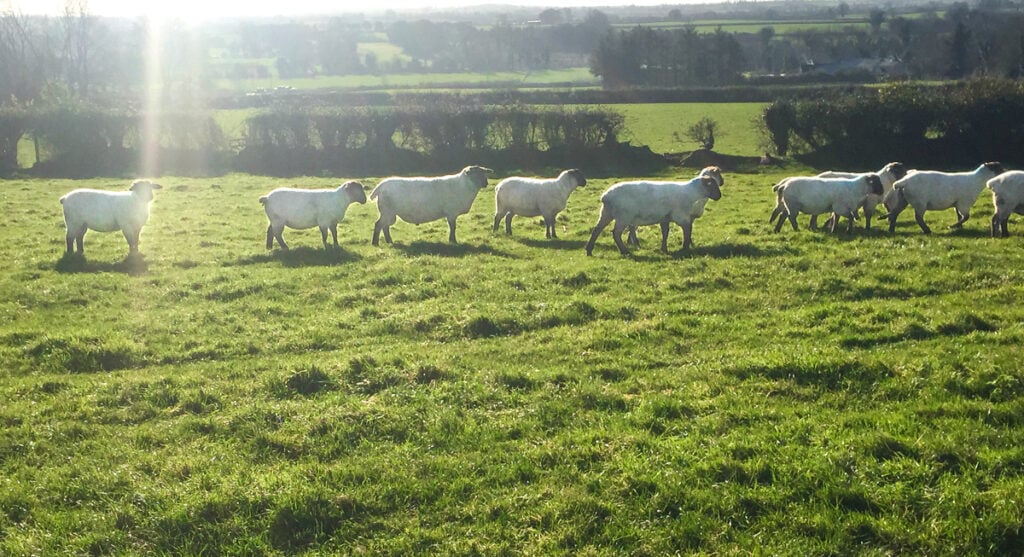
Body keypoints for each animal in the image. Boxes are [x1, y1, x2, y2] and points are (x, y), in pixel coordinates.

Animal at [585, 174, 722, 256]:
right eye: (712, 185)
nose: (719, 196)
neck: (693, 192)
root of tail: (606, 196)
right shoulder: (682, 217)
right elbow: (687, 232)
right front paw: (684, 248)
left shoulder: (664, 218)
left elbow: (665, 233)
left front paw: (664, 249)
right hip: (623, 216)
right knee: (616, 233)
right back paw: (625, 251)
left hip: (606, 213)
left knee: (597, 230)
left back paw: (589, 250)